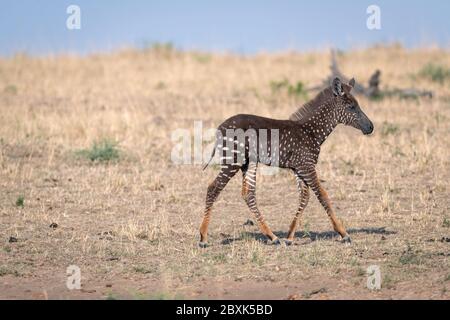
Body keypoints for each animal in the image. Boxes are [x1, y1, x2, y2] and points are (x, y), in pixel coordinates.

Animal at [200, 77, 372, 248]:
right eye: (351, 107)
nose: (371, 127)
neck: (311, 131)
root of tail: (219, 128)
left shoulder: (299, 168)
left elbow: (304, 197)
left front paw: (289, 237)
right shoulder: (307, 166)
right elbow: (322, 195)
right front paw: (343, 233)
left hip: (248, 162)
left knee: (248, 194)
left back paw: (272, 237)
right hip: (233, 161)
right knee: (213, 189)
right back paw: (203, 238)